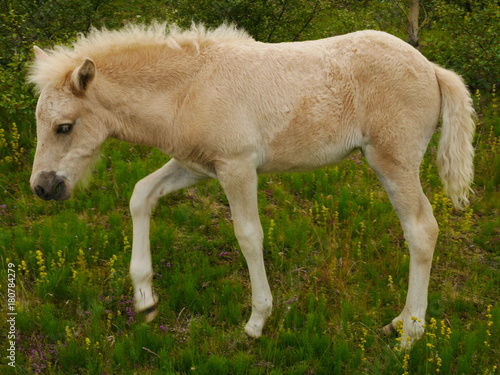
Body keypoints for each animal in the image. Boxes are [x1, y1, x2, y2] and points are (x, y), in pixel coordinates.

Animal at [29, 23, 474, 348]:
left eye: (64, 127)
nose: (42, 188)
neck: (188, 89)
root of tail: (432, 68)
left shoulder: (237, 166)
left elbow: (248, 235)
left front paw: (257, 320)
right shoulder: (196, 166)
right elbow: (141, 195)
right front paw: (144, 299)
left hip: (393, 161)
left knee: (421, 230)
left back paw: (410, 333)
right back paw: (398, 323)